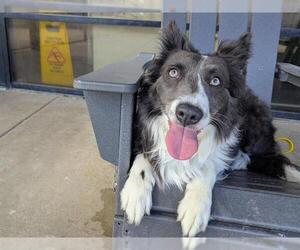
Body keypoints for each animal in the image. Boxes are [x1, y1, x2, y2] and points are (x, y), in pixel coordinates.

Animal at [120, 21, 300, 236]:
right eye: (173, 72)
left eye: (216, 81)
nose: (188, 114)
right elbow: (144, 156)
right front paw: (135, 192)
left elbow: (208, 164)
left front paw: (195, 207)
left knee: (265, 157)